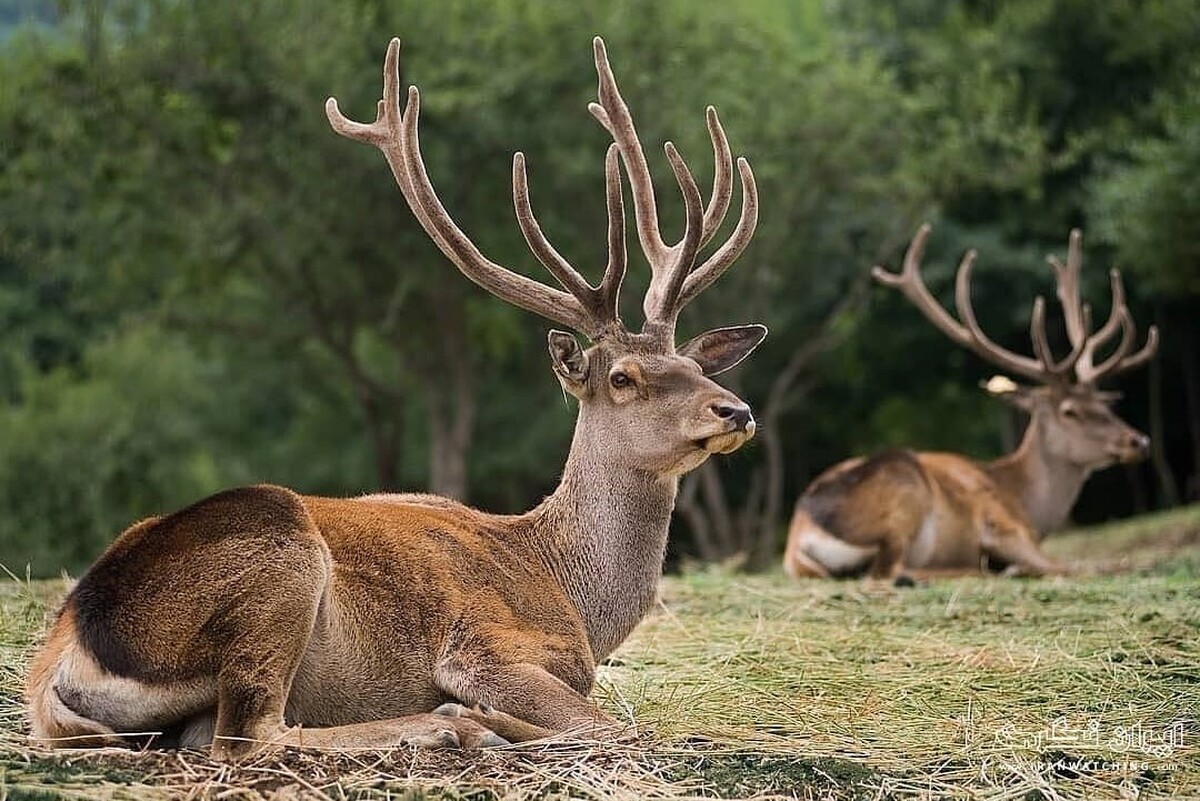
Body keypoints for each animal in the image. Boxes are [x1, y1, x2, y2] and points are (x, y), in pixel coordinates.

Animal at [23, 37, 763, 762]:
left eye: (694, 363)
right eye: (623, 377)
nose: (736, 410)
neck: (569, 592)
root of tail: (61, 659)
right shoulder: (485, 646)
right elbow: (614, 726)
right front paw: (478, 715)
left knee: (210, 734)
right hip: (279, 556)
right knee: (245, 736)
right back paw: (452, 725)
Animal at [782, 225, 1156, 582]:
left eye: (1104, 404)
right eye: (1070, 411)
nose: (1138, 441)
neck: (1024, 502)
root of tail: (799, 537)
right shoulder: (999, 523)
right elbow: (1076, 566)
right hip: (902, 491)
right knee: (889, 570)